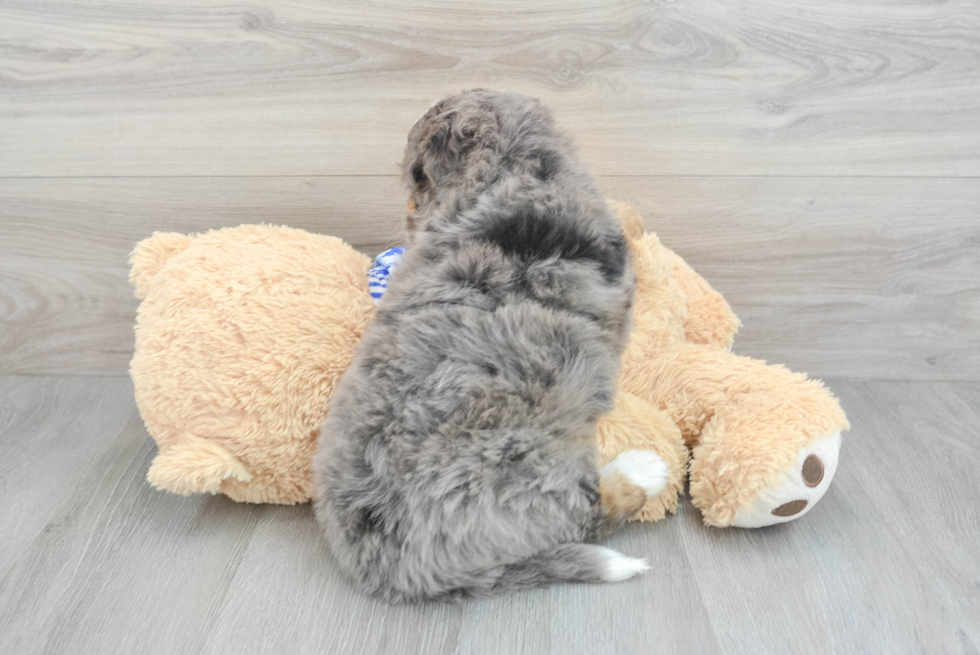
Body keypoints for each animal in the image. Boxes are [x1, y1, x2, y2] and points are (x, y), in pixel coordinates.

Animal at [314, 89, 668, 604]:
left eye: (414, 188)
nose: (409, 225)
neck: (511, 163)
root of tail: (394, 572)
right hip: (529, 467)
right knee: (586, 517)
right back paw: (643, 470)